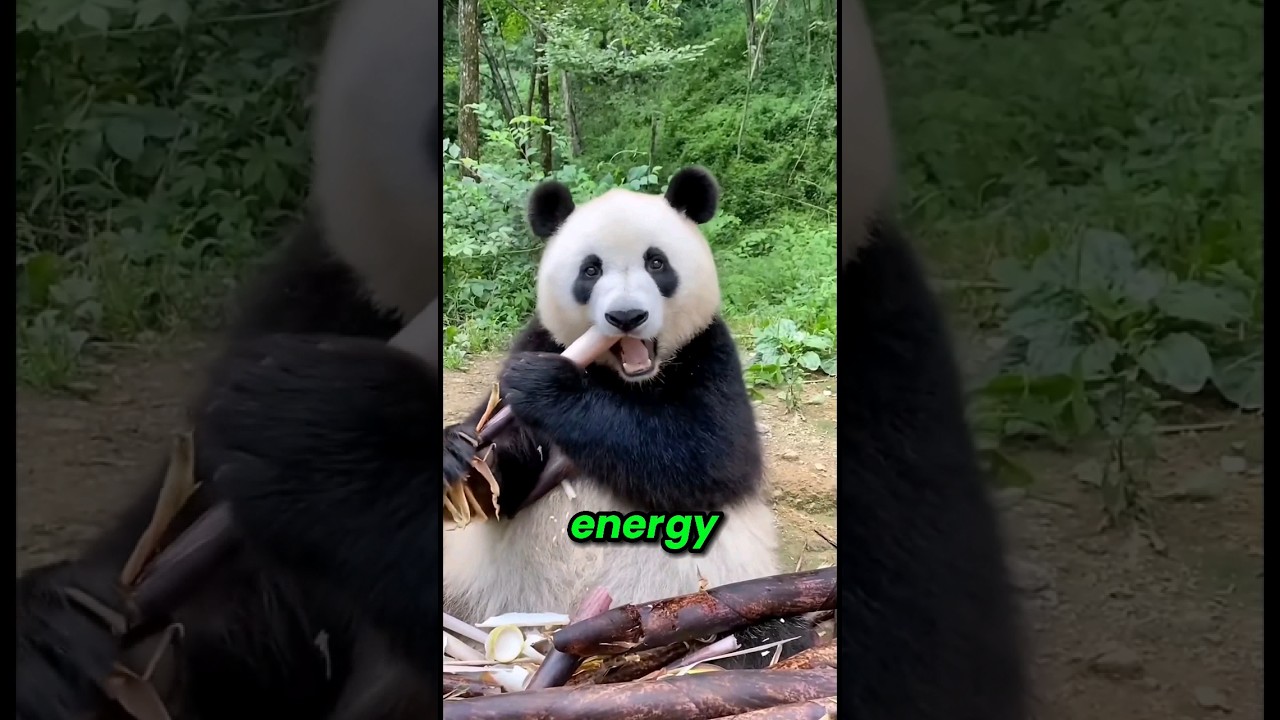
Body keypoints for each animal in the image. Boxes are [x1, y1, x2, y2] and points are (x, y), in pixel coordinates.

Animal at [441, 167, 813, 667]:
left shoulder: (710, 354)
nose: (626, 316)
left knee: (771, 633)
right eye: (590, 269)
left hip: (730, 593)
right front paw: (461, 452)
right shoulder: (537, 341)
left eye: (656, 263)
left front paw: (550, 386)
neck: (625, 380)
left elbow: (708, 457)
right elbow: (505, 487)